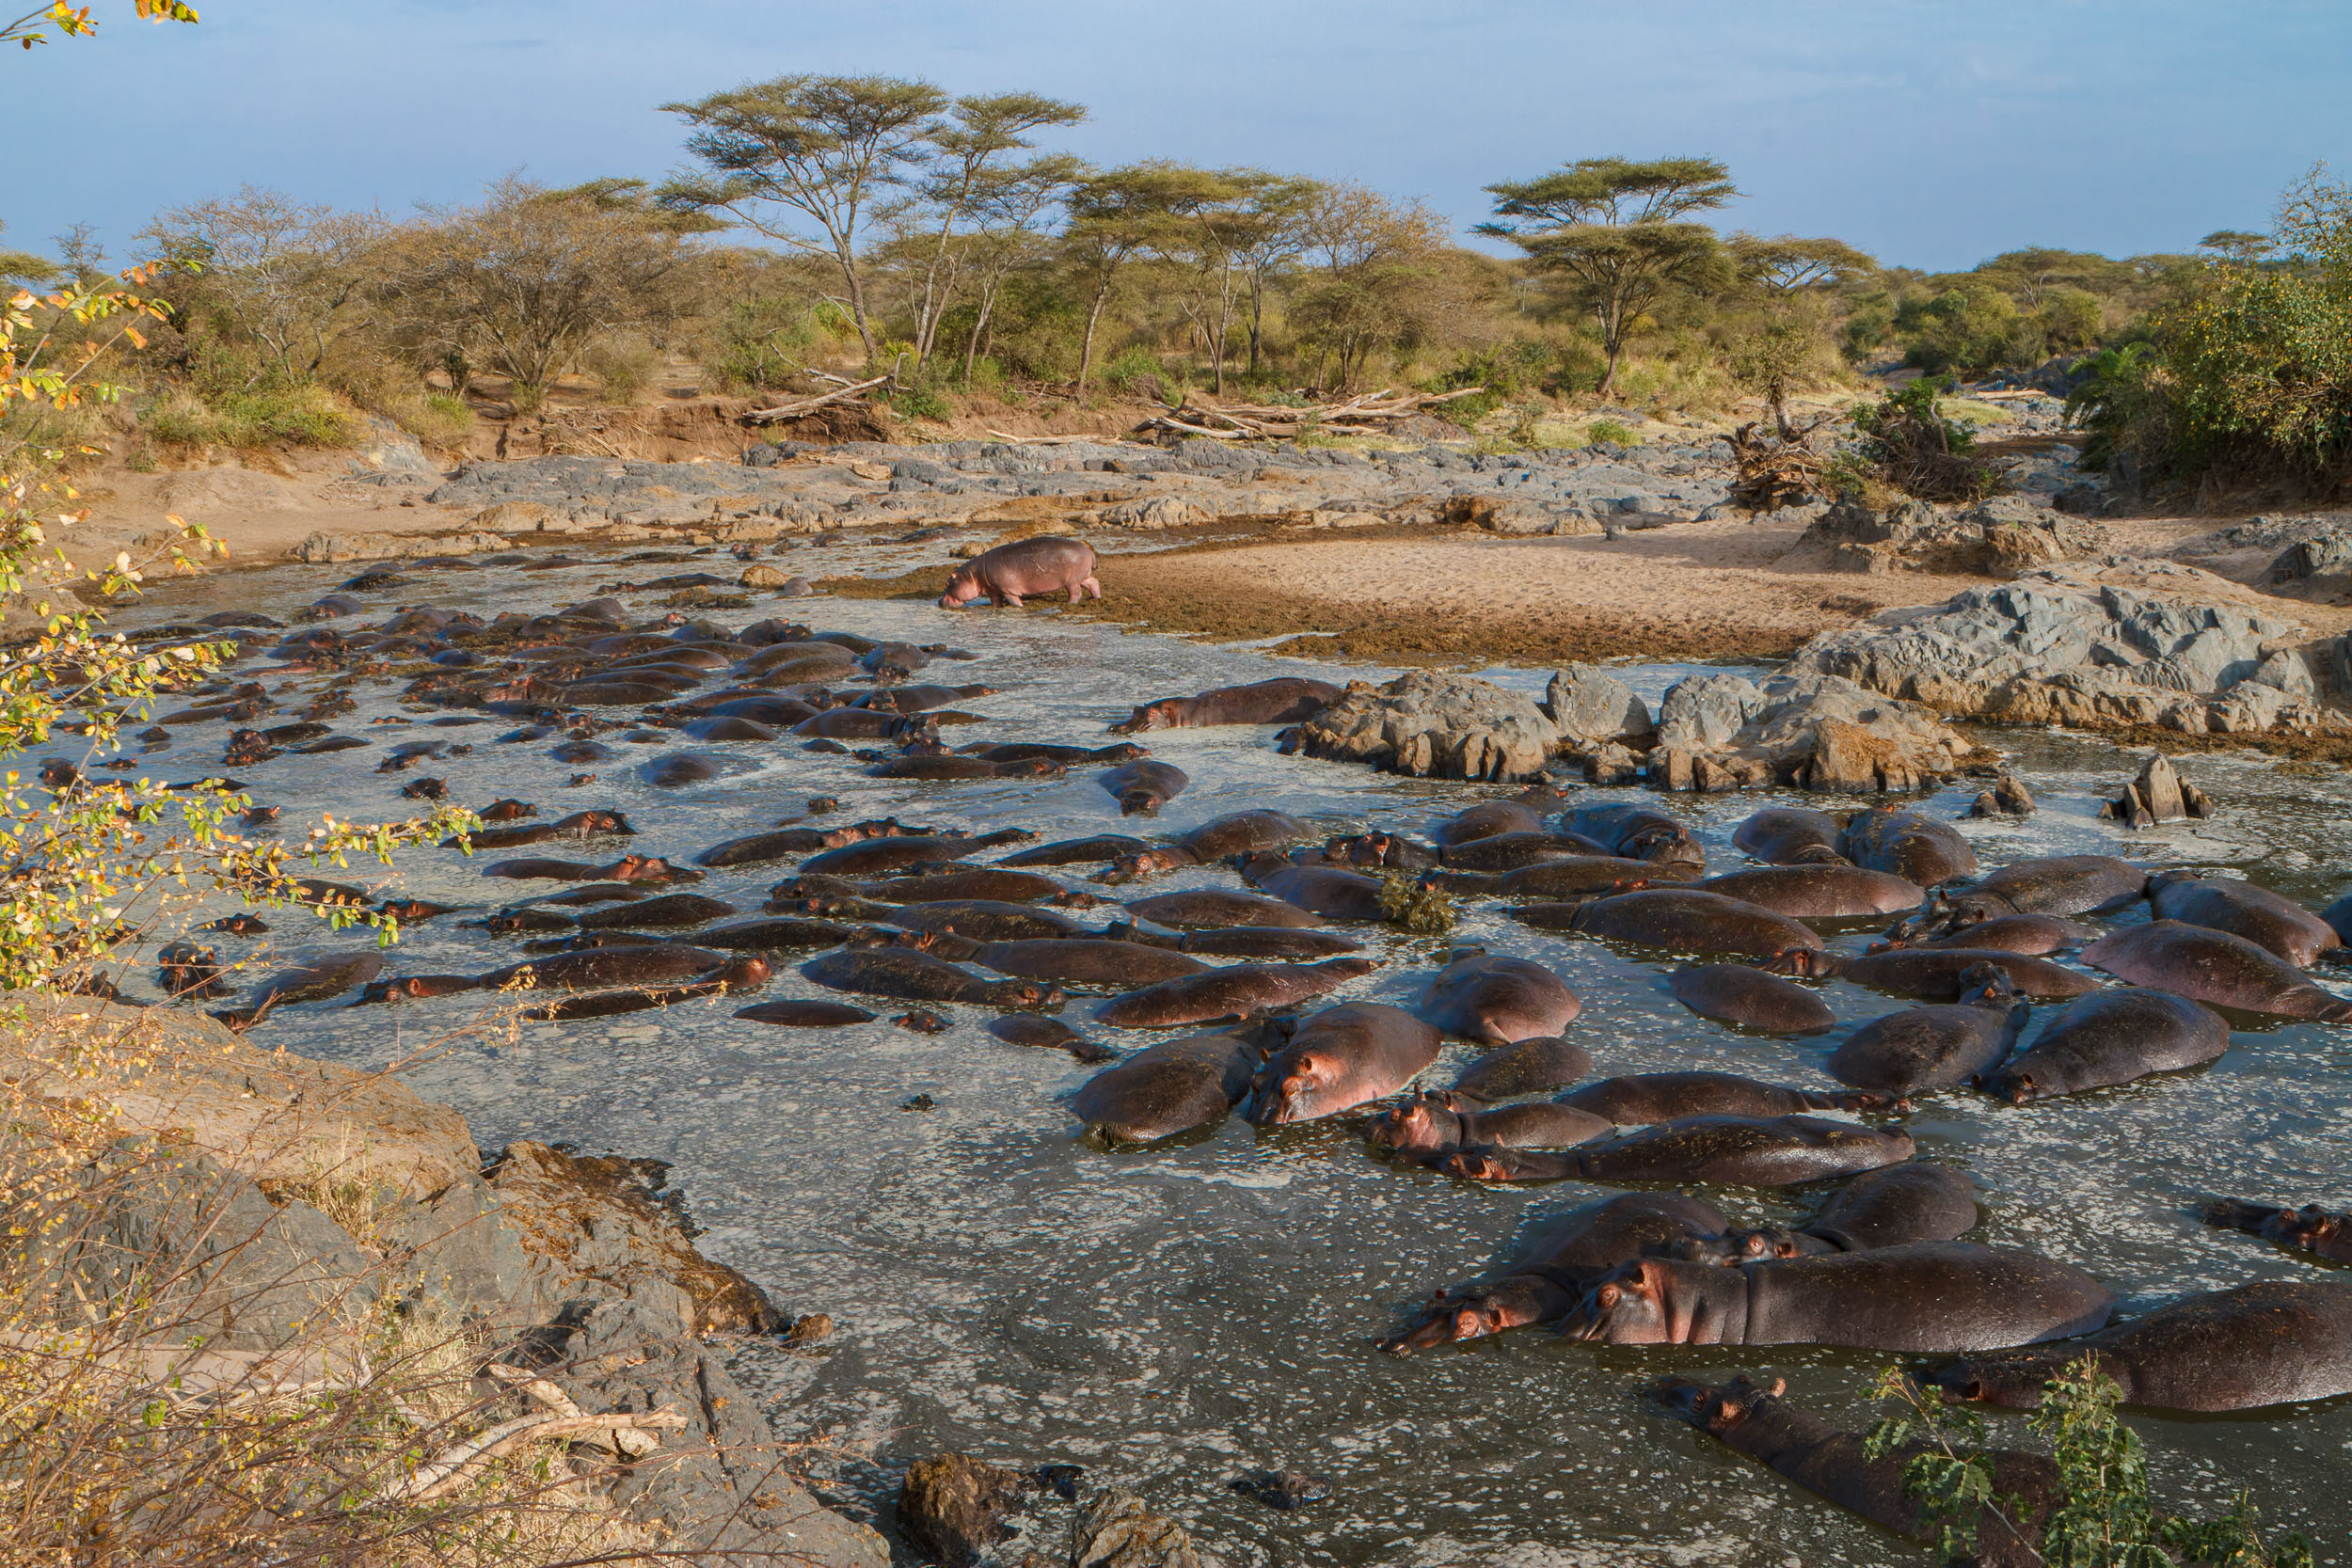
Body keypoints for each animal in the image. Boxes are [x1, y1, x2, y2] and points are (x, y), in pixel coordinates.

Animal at [937, 536, 1100, 609]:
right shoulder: (994, 589)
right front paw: (996, 609)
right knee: (1093, 582)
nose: (939, 601)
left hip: (1071, 581)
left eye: (947, 583)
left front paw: (1021, 607)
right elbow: (995, 601)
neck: (973, 575)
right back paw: (1096, 598)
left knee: (1076, 593)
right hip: (1081, 576)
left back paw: (1069, 604)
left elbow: (1014, 601)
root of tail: (1089, 551)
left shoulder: (1008, 589)